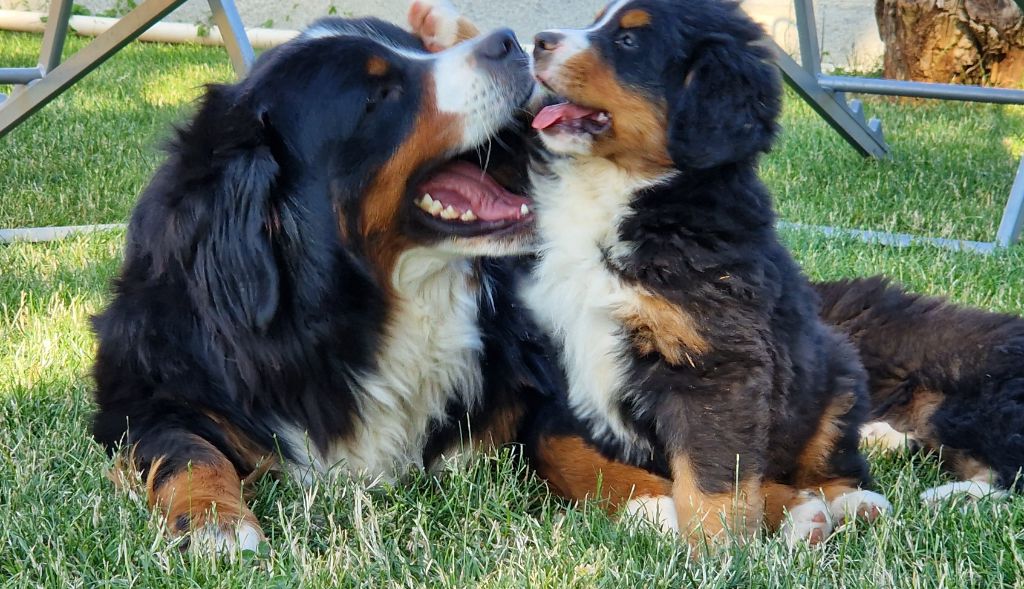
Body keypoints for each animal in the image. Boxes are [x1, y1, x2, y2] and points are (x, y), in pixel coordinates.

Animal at [93, 16, 561, 557]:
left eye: (419, 48)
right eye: (378, 95)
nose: (508, 41)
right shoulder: (145, 397)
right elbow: (187, 451)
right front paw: (217, 523)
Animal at [516, 0, 892, 549]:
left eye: (628, 42)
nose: (538, 41)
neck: (617, 192)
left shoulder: (716, 362)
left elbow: (713, 470)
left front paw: (716, 548)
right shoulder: (553, 370)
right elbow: (563, 451)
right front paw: (647, 502)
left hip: (836, 371)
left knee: (832, 461)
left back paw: (845, 504)